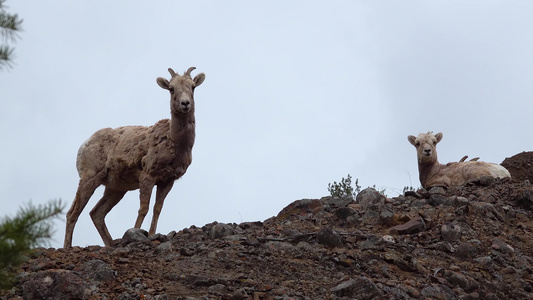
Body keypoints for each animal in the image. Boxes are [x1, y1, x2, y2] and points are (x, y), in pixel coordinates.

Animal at [62, 67, 204, 247]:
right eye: (171, 89)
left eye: (193, 87)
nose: (185, 103)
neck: (175, 142)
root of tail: (83, 145)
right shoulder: (147, 176)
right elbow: (143, 208)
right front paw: (135, 233)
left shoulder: (167, 181)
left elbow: (157, 209)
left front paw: (152, 234)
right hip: (89, 178)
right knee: (72, 213)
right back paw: (67, 246)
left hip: (115, 189)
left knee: (96, 213)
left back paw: (111, 244)